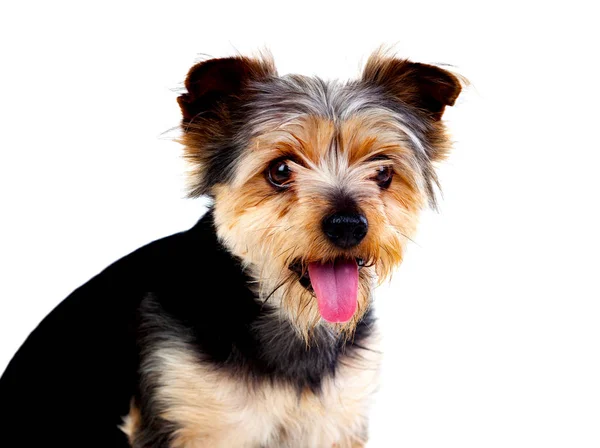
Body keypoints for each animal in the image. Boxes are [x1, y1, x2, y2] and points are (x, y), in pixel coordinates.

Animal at [0, 50, 464, 446]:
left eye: (383, 172)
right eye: (280, 170)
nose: (348, 225)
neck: (292, 327)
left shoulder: (334, 422)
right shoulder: (183, 416)